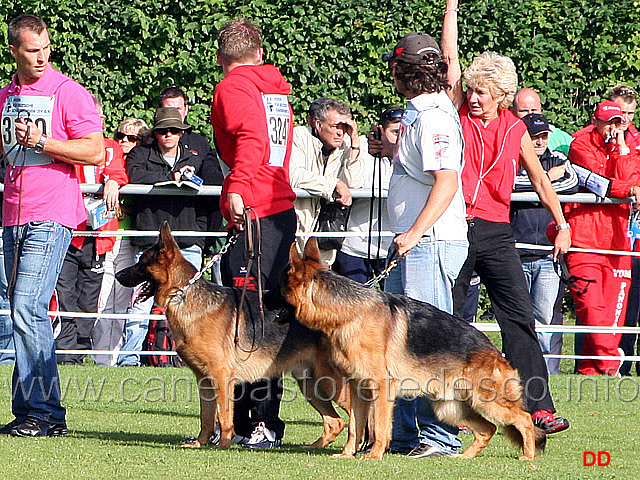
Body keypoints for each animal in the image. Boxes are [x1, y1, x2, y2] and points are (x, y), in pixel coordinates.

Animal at [115, 224, 344, 450]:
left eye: (141, 263)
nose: (117, 275)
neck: (184, 296)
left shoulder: (221, 376)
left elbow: (224, 416)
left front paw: (223, 444)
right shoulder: (204, 380)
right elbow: (206, 417)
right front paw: (200, 442)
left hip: (332, 384)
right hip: (311, 384)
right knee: (336, 422)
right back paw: (315, 446)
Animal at [280, 238, 544, 460]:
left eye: (278, 290)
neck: (349, 314)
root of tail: (493, 350)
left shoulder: (381, 387)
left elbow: (379, 427)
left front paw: (374, 456)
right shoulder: (357, 388)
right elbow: (355, 428)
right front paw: (346, 455)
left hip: (486, 400)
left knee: (524, 419)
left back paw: (528, 456)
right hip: (449, 408)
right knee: (487, 428)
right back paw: (465, 457)